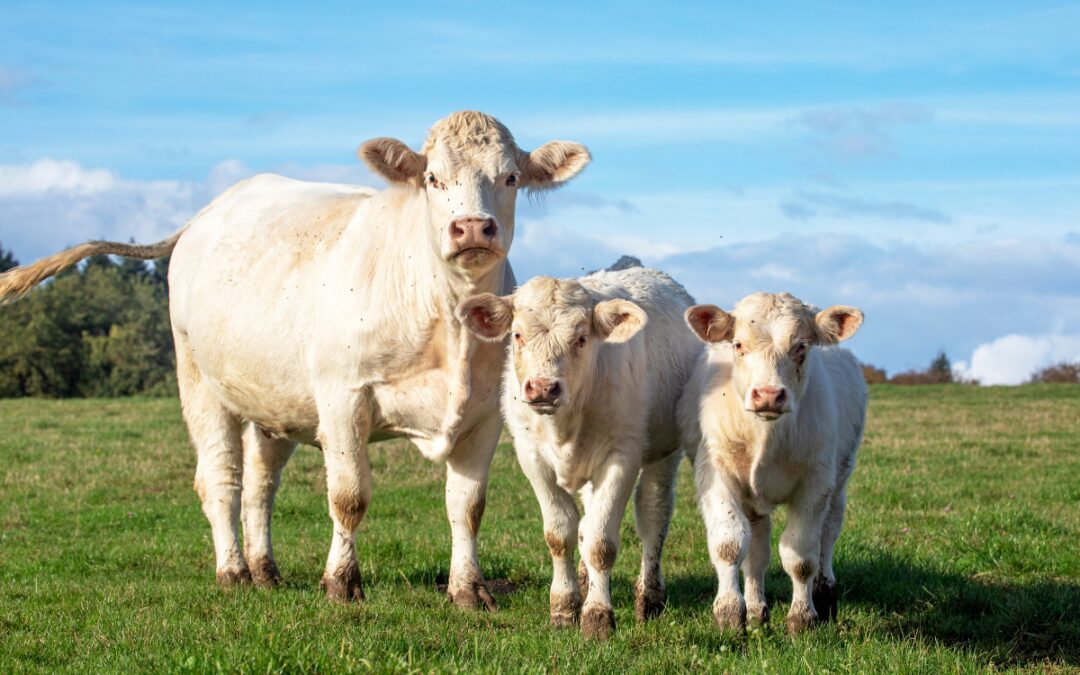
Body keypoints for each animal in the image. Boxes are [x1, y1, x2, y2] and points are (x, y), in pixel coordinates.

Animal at [0, 111, 590, 609]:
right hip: (199, 382)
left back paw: (265, 570)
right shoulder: (343, 396)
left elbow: (466, 505)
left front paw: (468, 591)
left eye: (510, 179)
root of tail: (206, 215)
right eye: (432, 179)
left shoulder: (485, 415)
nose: (471, 228)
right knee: (220, 479)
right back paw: (233, 572)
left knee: (260, 487)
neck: (445, 319)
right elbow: (349, 496)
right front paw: (341, 584)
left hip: (271, 404)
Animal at [458, 263, 702, 639]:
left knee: (653, 515)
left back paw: (649, 598)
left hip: (664, 453)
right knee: (587, 522)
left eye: (581, 339)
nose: (543, 388)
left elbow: (602, 543)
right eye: (517, 336)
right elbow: (560, 534)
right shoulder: (532, 458)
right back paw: (587, 583)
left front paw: (598, 616)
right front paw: (563, 607)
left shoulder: (622, 457)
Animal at [677, 292, 867, 634]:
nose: (767, 394)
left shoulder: (815, 484)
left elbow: (801, 556)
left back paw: (825, 594)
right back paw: (756, 610)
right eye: (738, 344)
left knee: (828, 533)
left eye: (801, 346)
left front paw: (802, 618)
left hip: (841, 477)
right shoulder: (715, 475)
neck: (766, 436)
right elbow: (729, 545)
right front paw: (730, 612)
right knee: (757, 552)